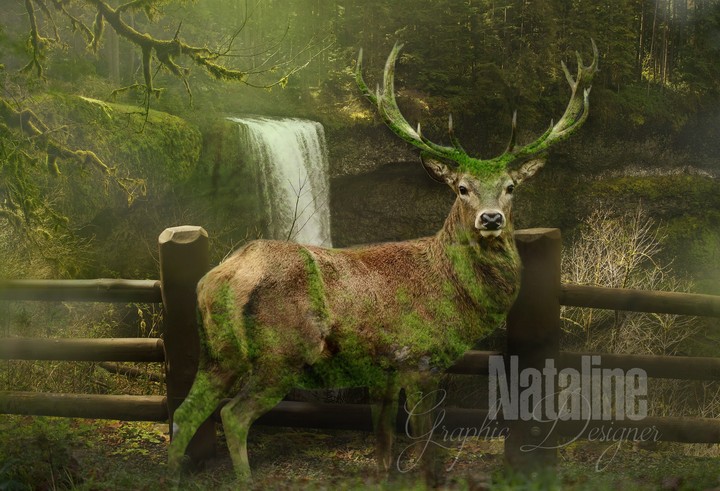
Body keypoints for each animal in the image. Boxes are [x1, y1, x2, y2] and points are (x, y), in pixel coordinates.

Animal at [167, 41, 598, 482]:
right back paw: (245, 479)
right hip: (282, 351)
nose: (491, 218)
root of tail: (220, 277)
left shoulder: (384, 371)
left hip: (218, 354)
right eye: (462, 187)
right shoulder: (421, 358)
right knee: (233, 415)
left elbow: (384, 445)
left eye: (511, 187)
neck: (453, 293)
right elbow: (425, 441)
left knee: (185, 413)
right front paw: (429, 478)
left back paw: (174, 474)